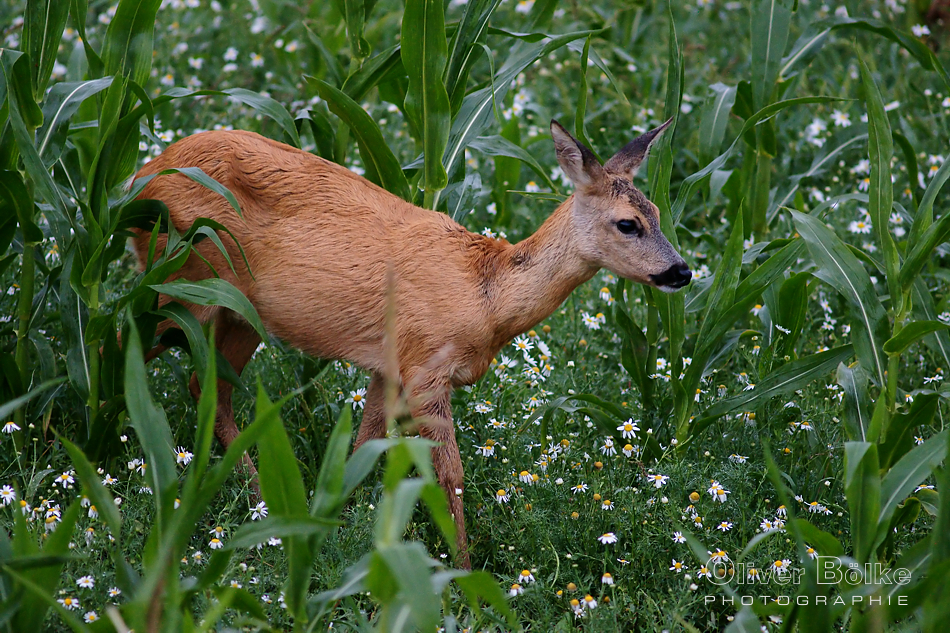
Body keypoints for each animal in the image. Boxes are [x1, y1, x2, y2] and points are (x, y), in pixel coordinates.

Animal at [132, 118, 692, 568]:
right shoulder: (426, 365)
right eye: (628, 223)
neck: (486, 296)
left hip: (240, 310)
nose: (682, 272)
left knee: (208, 387)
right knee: (126, 342)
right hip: (185, 282)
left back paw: (261, 501)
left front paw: (336, 523)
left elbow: (364, 444)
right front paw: (465, 572)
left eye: (658, 211)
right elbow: (449, 474)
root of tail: (140, 178)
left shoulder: (388, 363)